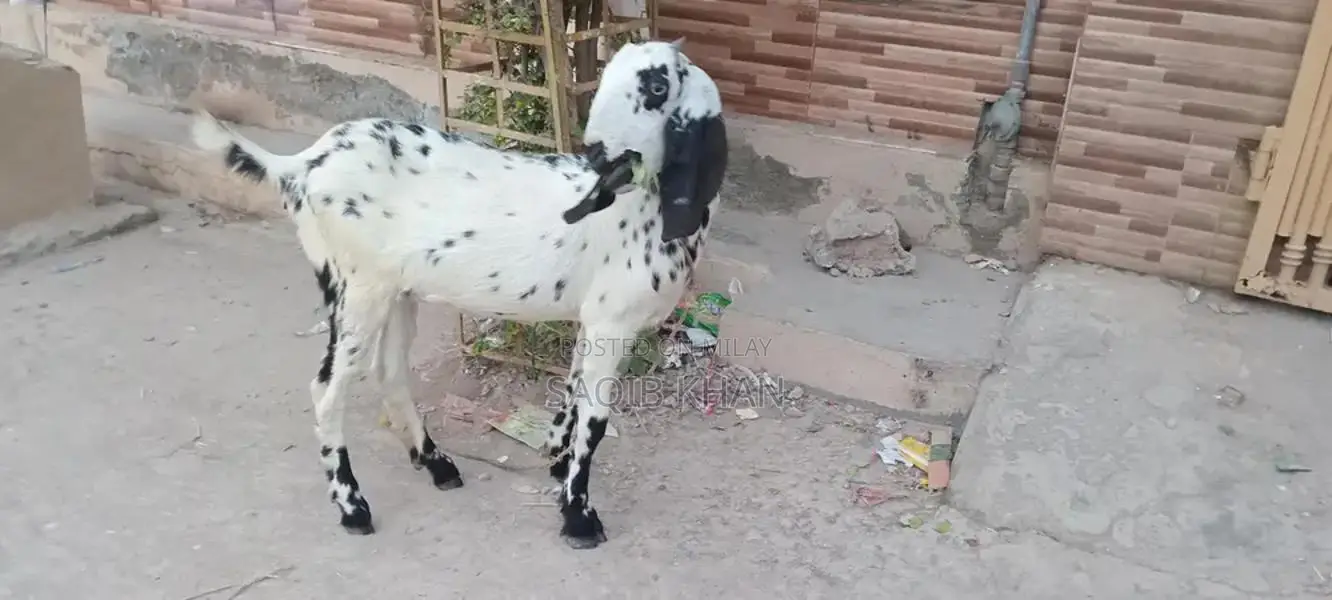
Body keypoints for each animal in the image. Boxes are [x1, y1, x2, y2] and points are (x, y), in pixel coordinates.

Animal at [191, 39, 726, 549]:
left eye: (657, 87)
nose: (595, 154)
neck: (643, 212)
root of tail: (301, 165)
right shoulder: (612, 322)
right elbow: (595, 418)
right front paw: (579, 516)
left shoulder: (595, 321)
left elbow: (573, 390)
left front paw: (557, 459)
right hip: (356, 288)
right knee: (327, 391)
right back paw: (352, 507)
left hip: (395, 291)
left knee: (389, 374)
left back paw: (435, 463)